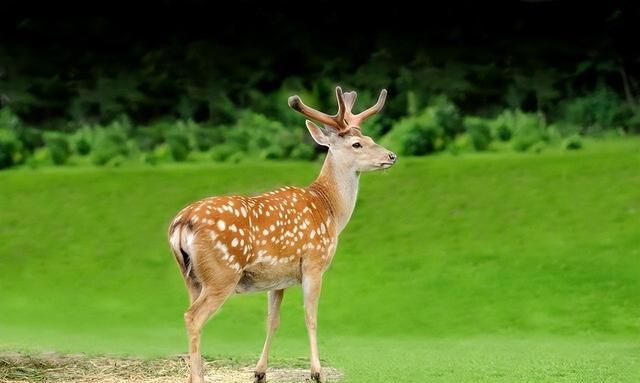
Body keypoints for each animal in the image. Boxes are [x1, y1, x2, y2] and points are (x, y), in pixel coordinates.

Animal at [166, 87, 396, 383]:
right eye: (357, 144)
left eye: (370, 138)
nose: (391, 156)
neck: (329, 209)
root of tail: (182, 223)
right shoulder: (313, 262)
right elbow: (311, 317)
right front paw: (317, 372)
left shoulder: (278, 278)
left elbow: (272, 321)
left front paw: (260, 372)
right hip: (222, 273)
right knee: (192, 317)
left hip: (191, 277)